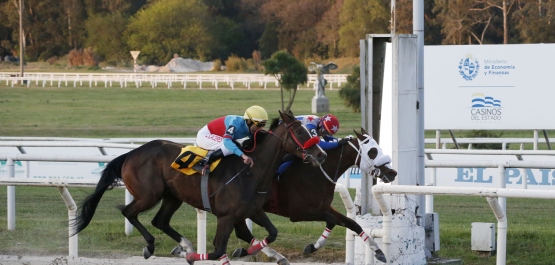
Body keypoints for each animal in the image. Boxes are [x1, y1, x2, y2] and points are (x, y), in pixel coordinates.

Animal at [71, 109, 328, 262]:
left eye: (311, 131)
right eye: (299, 132)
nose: (321, 154)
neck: (251, 171)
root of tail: (131, 153)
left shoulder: (251, 211)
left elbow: (270, 233)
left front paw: (254, 251)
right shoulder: (226, 216)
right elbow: (217, 250)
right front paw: (195, 257)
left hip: (172, 196)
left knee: (160, 221)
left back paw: (185, 245)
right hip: (148, 195)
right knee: (129, 212)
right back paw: (152, 246)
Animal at [230, 128, 396, 262]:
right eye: (373, 151)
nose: (392, 173)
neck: (315, 172)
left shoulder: (324, 207)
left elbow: (352, 223)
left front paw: (379, 251)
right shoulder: (298, 212)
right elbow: (331, 221)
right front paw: (311, 247)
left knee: (242, 232)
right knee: (242, 231)